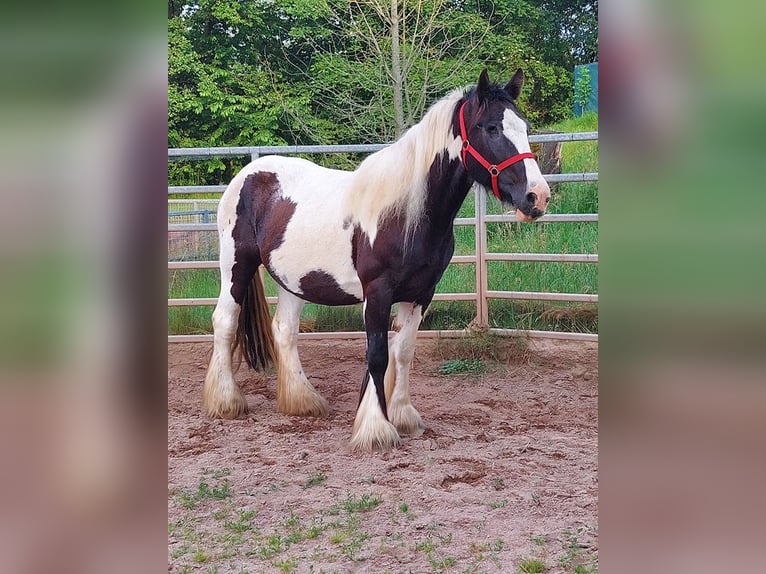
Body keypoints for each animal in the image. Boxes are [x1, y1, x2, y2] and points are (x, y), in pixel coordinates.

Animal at [204, 68, 552, 454]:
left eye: (524, 126)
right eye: (491, 127)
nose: (537, 196)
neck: (405, 213)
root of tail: (249, 174)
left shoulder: (421, 294)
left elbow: (403, 352)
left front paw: (402, 415)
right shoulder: (378, 292)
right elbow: (377, 355)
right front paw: (375, 429)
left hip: (293, 280)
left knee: (285, 330)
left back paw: (303, 401)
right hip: (236, 265)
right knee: (225, 321)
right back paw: (226, 402)